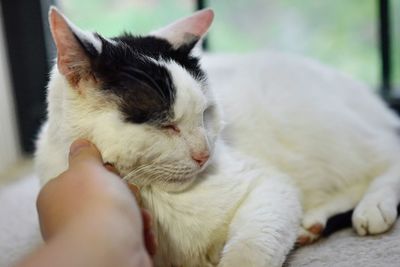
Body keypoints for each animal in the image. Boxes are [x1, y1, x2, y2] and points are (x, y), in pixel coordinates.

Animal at [34, 6, 400, 267]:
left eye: (205, 114)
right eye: (165, 125)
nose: (204, 155)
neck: (156, 197)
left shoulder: (268, 184)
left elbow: (251, 248)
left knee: (386, 154)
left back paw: (373, 206)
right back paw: (312, 222)